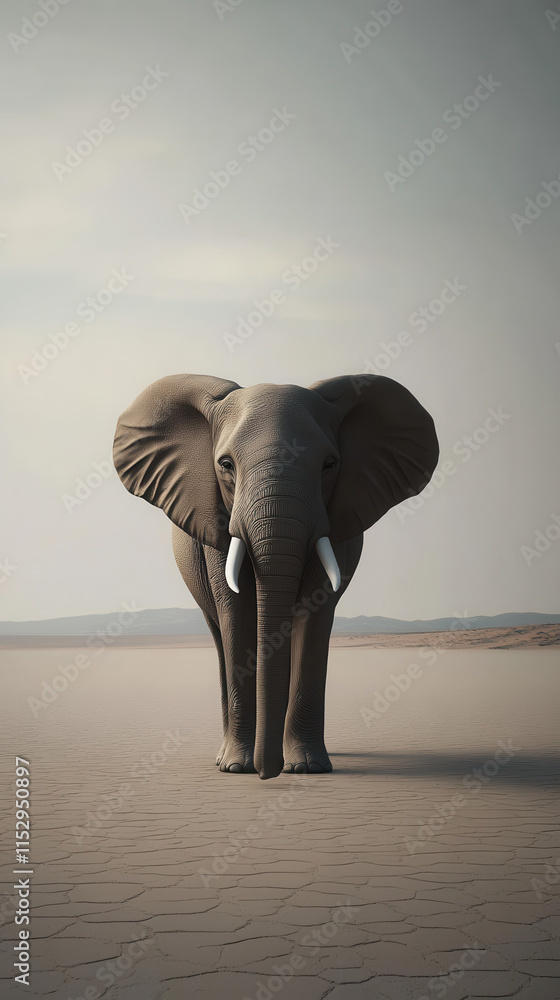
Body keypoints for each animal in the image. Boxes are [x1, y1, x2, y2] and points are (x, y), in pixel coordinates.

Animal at [113, 373, 439, 779]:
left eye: (329, 464)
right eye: (225, 464)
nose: (268, 773)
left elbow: (315, 611)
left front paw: (308, 768)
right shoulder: (215, 525)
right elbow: (237, 612)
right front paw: (237, 767)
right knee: (219, 634)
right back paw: (225, 758)